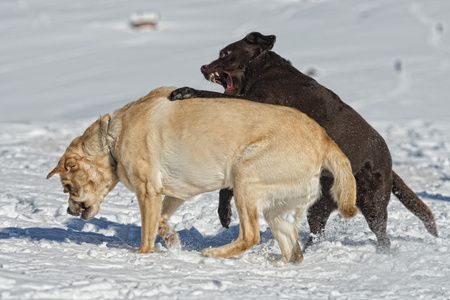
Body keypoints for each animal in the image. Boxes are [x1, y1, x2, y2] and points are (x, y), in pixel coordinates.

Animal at [48, 86, 358, 262]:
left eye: (67, 187)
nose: (69, 211)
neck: (112, 138)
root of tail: (325, 139)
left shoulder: (148, 191)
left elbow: (147, 232)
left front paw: (142, 257)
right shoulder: (175, 193)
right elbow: (160, 221)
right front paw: (171, 239)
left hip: (244, 177)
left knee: (251, 236)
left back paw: (214, 254)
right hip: (274, 206)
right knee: (293, 251)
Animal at [169, 32, 436, 251]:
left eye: (225, 53)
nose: (203, 67)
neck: (260, 70)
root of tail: (390, 165)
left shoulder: (259, 103)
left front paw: (184, 91)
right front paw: (224, 214)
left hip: (373, 201)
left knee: (382, 236)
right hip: (322, 201)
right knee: (317, 231)